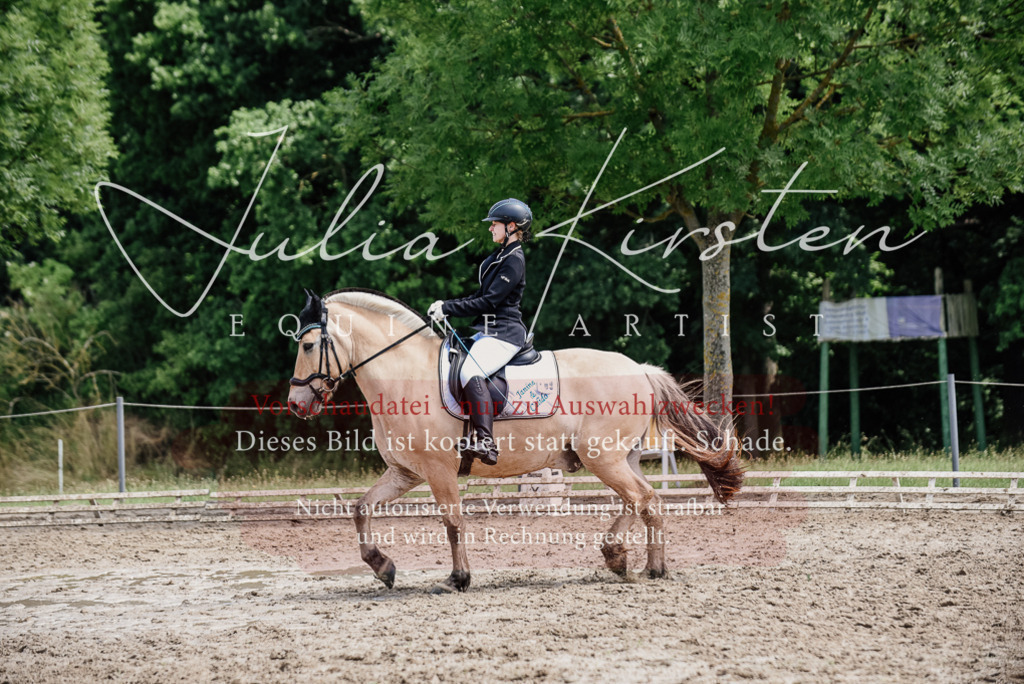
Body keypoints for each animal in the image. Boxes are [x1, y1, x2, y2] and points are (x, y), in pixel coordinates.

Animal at [287, 288, 743, 593]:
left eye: (308, 345)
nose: (295, 403)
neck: (404, 374)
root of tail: (641, 369)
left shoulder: (438, 471)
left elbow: (453, 522)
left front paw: (458, 579)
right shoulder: (405, 472)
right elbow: (361, 509)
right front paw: (383, 567)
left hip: (603, 459)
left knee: (642, 498)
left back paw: (628, 560)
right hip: (618, 458)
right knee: (646, 500)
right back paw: (642, 564)